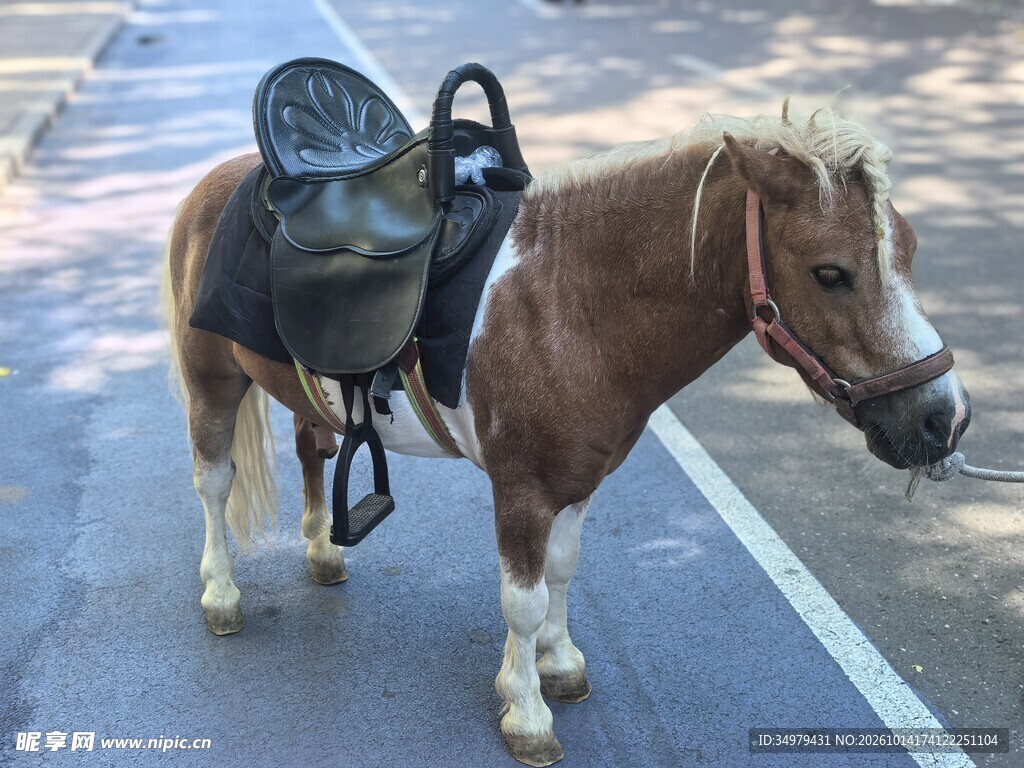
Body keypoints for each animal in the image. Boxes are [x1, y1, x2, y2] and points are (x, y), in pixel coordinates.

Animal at [164, 105, 971, 767]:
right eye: (830, 273)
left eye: (910, 249)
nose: (945, 418)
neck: (566, 299)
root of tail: (217, 182)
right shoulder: (521, 489)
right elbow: (520, 599)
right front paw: (526, 712)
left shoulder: (577, 480)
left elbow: (560, 571)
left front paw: (556, 663)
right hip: (211, 383)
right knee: (211, 484)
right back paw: (221, 593)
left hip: (307, 398)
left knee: (313, 448)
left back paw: (324, 551)